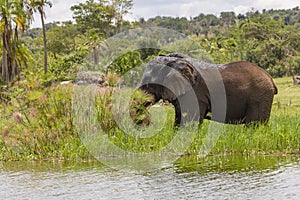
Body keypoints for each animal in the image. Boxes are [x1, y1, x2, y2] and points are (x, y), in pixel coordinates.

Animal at [139, 52, 278, 126]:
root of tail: (270, 77)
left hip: (260, 95)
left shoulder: (196, 92)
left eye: (149, 83)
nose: (148, 124)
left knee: (253, 124)